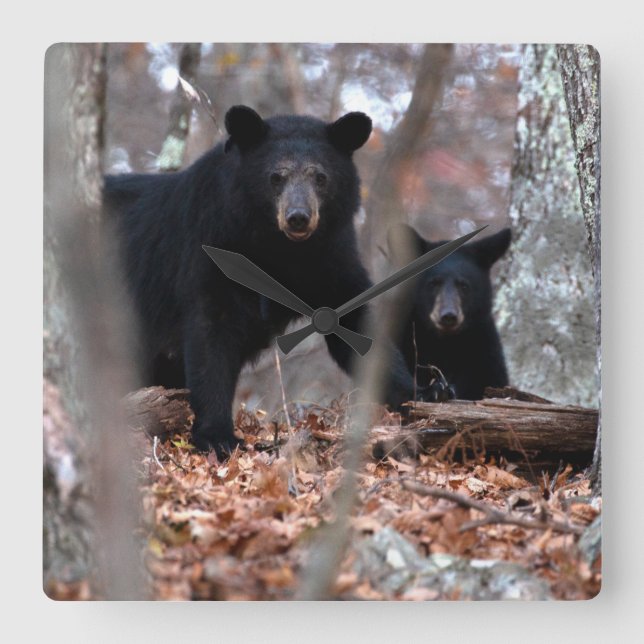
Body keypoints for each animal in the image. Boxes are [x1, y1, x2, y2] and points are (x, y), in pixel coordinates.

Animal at [104, 105, 419, 455]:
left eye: (321, 177)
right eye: (276, 176)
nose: (298, 217)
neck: (280, 248)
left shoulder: (332, 257)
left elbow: (355, 324)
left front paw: (420, 395)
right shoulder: (209, 247)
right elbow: (211, 337)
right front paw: (218, 436)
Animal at [387, 224, 511, 400]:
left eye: (464, 285)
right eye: (433, 283)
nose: (448, 316)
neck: (444, 343)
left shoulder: (484, 349)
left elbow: (489, 379)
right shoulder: (404, 336)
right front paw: (434, 390)